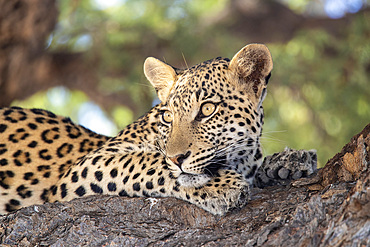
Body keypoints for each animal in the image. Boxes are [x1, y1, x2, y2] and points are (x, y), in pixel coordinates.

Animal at [0, 44, 318, 216]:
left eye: (207, 110)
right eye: (167, 116)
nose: (178, 158)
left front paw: (290, 161)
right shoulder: (86, 167)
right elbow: (145, 161)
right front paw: (222, 186)